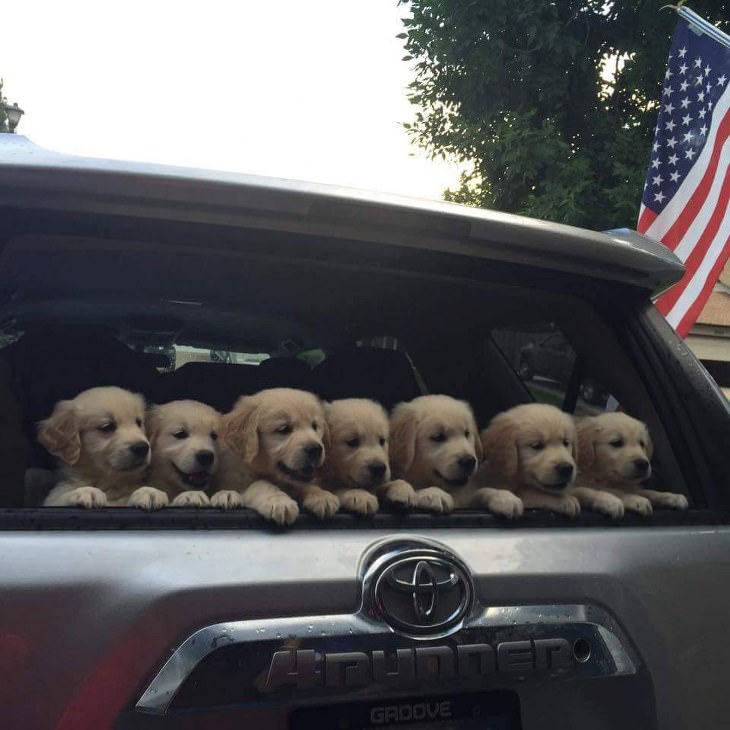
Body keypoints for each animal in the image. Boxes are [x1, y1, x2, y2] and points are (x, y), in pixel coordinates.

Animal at [218, 386, 340, 524]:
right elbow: (261, 484)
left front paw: (321, 495)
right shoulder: (238, 482)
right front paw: (279, 501)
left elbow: (303, 485)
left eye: (314, 426)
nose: (316, 449)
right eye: (284, 429)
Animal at [386, 392, 524, 516]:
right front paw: (433, 493)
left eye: (467, 433)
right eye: (438, 437)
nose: (469, 461)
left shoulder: (466, 498)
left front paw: (504, 496)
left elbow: (480, 492)